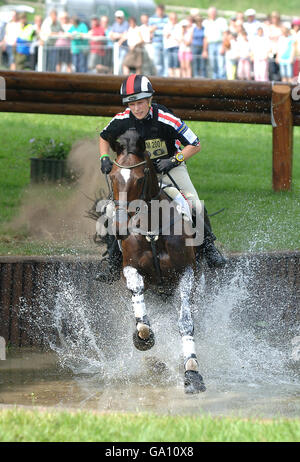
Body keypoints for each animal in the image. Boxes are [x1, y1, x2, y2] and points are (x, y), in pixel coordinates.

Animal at [102, 129, 205, 394]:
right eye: (113, 176)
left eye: (140, 179)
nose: (120, 228)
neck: (152, 229)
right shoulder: (130, 268)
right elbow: (139, 300)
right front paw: (143, 338)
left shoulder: (186, 273)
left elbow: (186, 322)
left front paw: (192, 372)